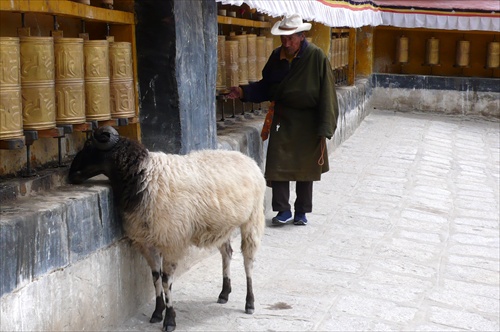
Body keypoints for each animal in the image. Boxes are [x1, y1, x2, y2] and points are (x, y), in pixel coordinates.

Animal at [68, 126, 268, 330]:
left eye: (89, 146)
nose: (70, 174)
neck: (143, 176)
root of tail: (247, 158)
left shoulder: (172, 242)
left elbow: (166, 281)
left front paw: (170, 320)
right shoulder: (146, 243)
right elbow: (155, 277)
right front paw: (157, 312)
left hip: (253, 218)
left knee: (248, 261)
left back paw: (250, 303)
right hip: (222, 226)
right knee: (227, 253)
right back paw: (224, 293)